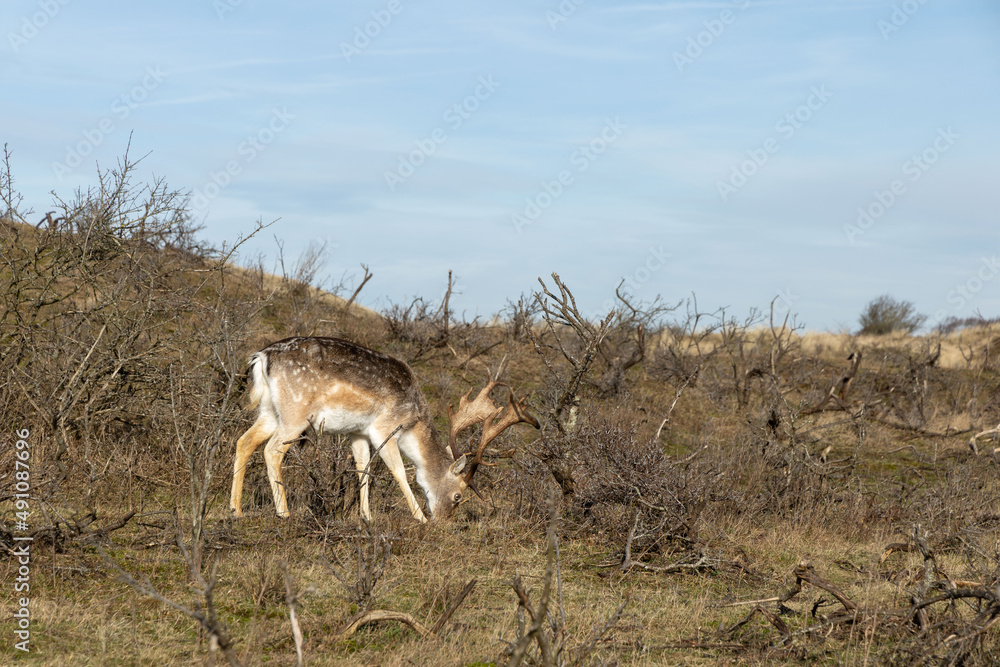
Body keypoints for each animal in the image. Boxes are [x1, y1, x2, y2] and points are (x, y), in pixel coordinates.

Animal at [230, 336, 539, 522]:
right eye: (459, 496)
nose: (442, 522)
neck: (413, 417)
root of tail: (261, 358)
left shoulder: (357, 431)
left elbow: (363, 467)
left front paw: (366, 517)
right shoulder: (385, 427)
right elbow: (399, 470)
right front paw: (419, 517)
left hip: (270, 412)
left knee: (243, 441)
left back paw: (236, 509)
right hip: (296, 414)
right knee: (271, 450)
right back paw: (284, 512)